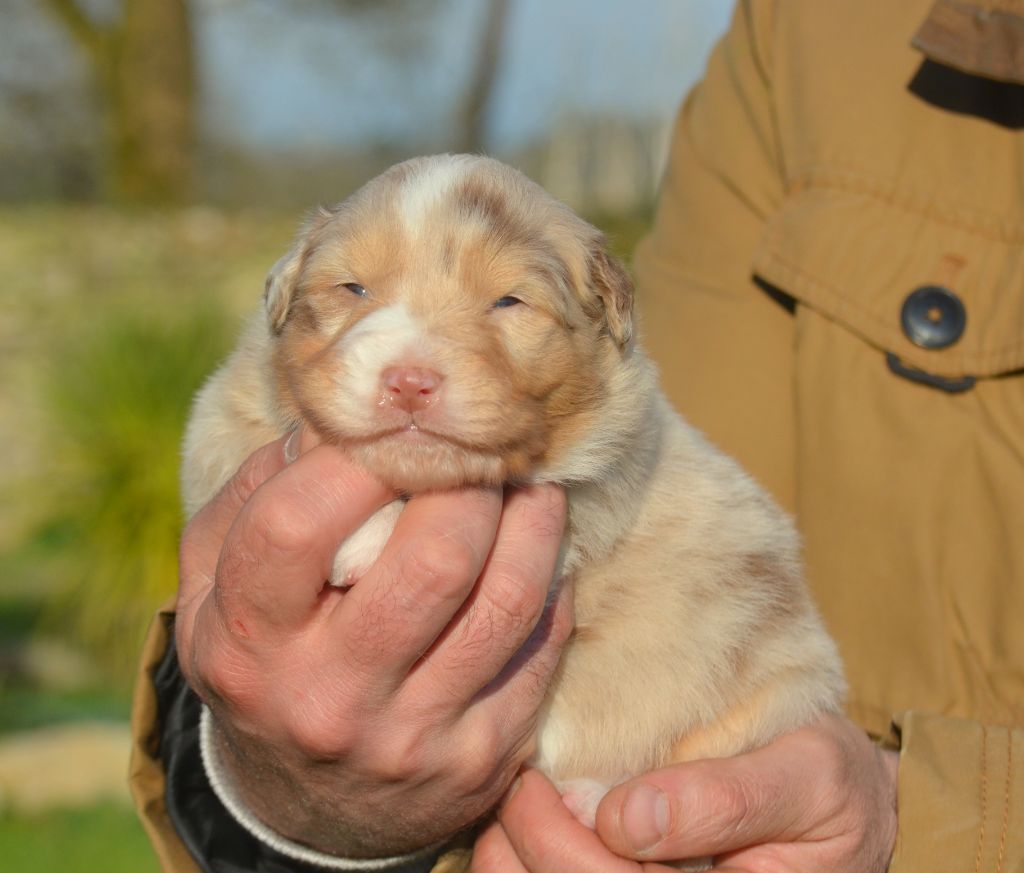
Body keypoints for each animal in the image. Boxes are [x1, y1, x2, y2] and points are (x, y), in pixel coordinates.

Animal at [182, 154, 839, 863]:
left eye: (508, 302)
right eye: (353, 288)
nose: (409, 381)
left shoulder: (604, 467)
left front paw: (367, 539)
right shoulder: (223, 417)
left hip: (776, 686)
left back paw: (594, 802)